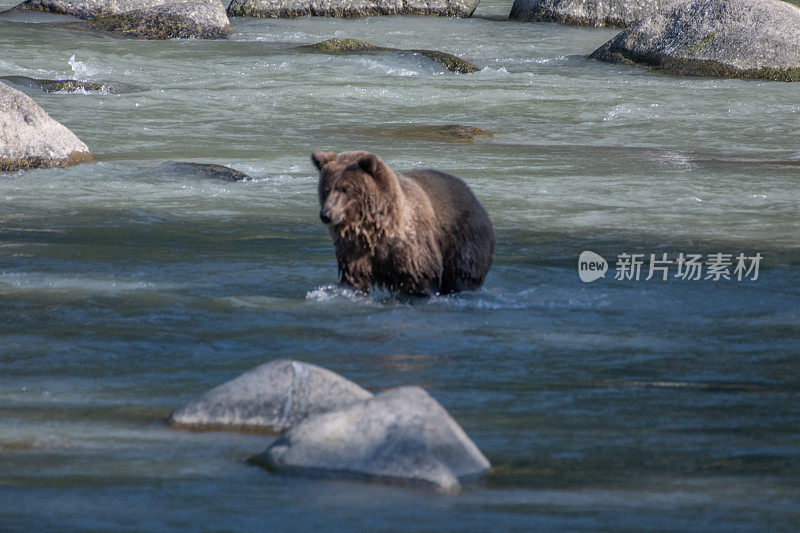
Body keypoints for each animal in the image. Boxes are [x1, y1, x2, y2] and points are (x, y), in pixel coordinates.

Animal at [312, 150, 494, 296]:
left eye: (345, 189)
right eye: (326, 188)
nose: (326, 214)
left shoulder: (411, 243)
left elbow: (420, 275)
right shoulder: (354, 248)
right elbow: (354, 276)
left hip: (464, 238)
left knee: (462, 274)